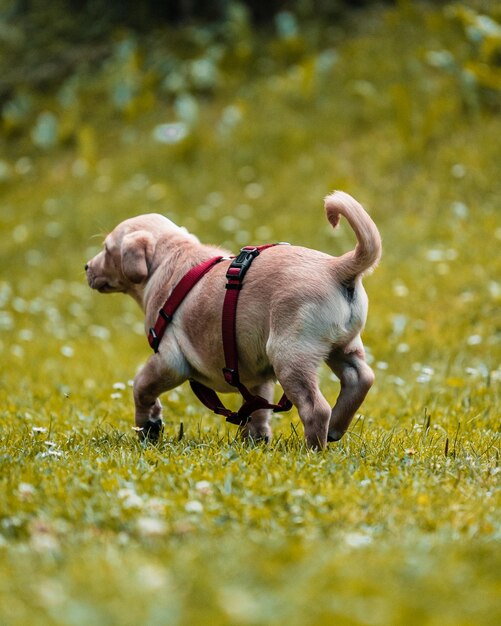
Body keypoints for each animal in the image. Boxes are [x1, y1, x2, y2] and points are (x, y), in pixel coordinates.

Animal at [86, 191, 380, 448]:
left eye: (106, 249)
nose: (87, 266)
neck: (170, 256)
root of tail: (336, 268)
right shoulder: (255, 376)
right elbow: (257, 411)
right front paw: (255, 442)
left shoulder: (169, 360)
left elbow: (141, 386)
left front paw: (147, 426)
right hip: (344, 346)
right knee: (360, 378)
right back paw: (336, 427)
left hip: (289, 354)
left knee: (316, 409)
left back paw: (313, 450)